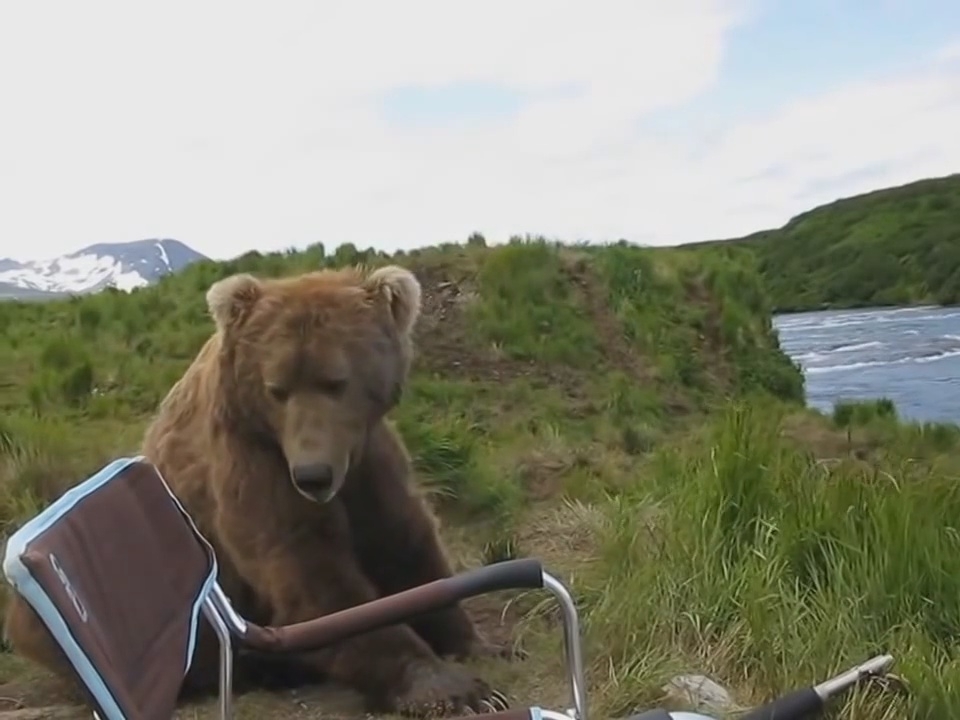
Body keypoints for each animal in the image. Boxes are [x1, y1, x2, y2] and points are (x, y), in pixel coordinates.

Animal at [3, 262, 512, 716]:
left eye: (336, 382)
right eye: (277, 388)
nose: (312, 474)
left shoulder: (370, 461)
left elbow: (406, 544)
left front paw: (478, 644)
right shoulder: (252, 462)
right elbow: (313, 579)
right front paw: (452, 688)